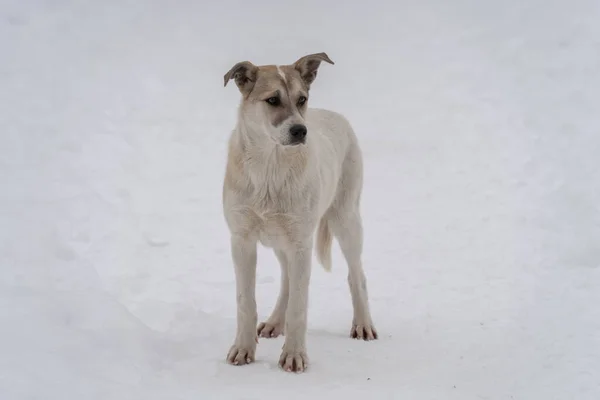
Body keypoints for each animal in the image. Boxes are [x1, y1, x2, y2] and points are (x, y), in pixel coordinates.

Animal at [223, 52, 378, 372]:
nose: (300, 130)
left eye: (301, 99)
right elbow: (245, 301)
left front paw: (294, 356)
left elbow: (299, 306)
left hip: (345, 220)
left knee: (356, 276)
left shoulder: (301, 243)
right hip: (283, 239)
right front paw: (243, 349)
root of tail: (333, 114)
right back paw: (274, 322)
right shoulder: (241, 240)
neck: (270, 166)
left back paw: (363, 325)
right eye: (272, 100)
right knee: (286, 279)